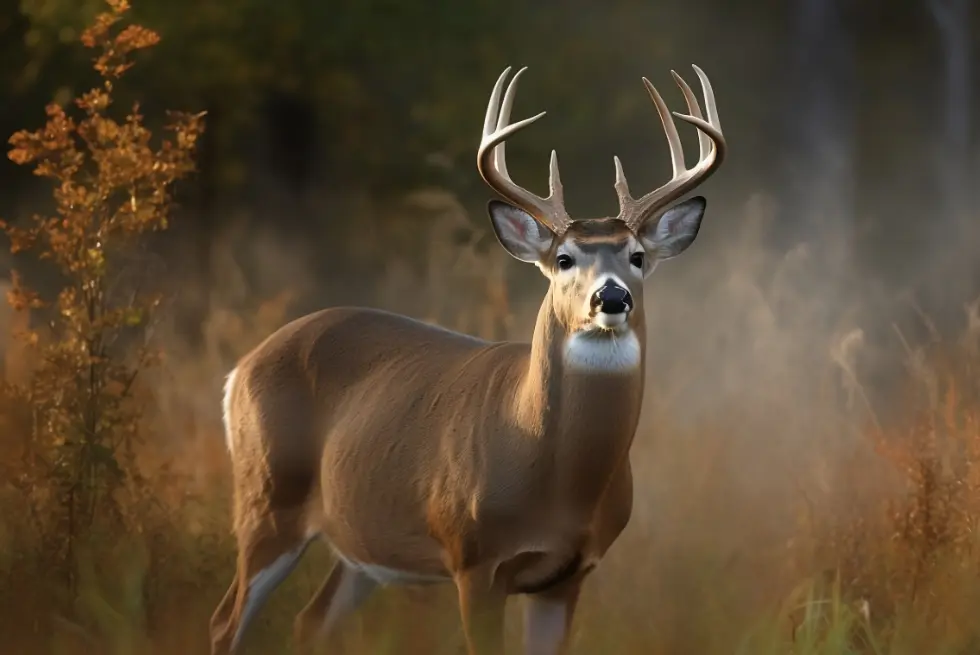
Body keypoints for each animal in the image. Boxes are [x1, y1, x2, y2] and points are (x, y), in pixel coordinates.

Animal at [209, 63, 726, 655]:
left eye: (638, 256)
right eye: (564, 258)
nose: (612, 297)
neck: (555, 476)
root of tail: (240, 368)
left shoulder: (569, 576)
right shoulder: (473, 559)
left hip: (362, 541)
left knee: (310, 621)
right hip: (267, 496)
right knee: (225, 622)